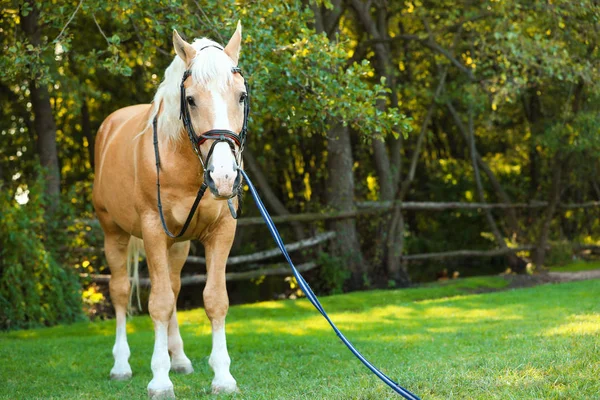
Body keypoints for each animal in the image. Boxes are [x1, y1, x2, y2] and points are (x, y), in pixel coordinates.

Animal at [91, 24, 246, 396]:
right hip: (114, 234)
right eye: (190, 100)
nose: (223, 177)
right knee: (121, 292)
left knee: (174, 288)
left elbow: (214, 299)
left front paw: (222, 376)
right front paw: (159, 380)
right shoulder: (152, 232)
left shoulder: (222, 231)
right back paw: (121, 366)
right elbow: (158, 303)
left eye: (241, 96)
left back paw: (180, 359)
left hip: (178, 245)